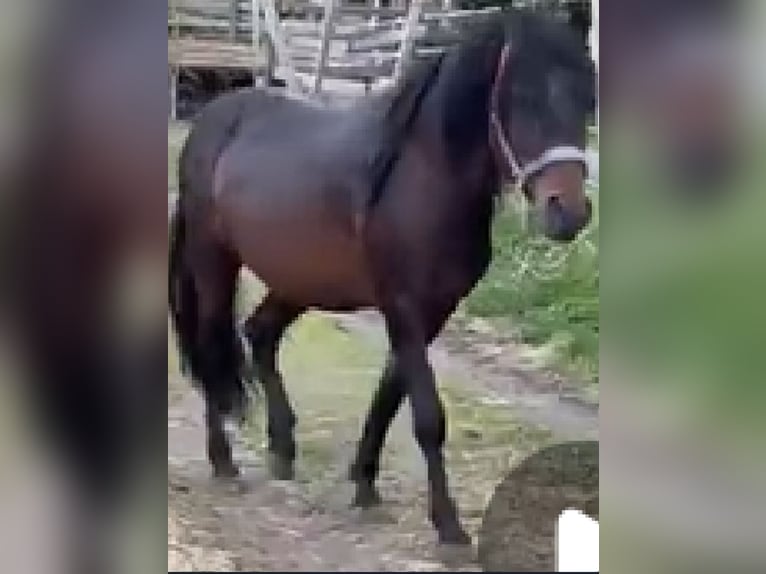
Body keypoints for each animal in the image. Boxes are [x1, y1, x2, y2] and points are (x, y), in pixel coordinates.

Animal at [169, 10, 595, 545]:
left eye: (585, 99)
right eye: (520, 97)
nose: (568, 212)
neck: (420, 179)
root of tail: (210, 121)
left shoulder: (431, 312)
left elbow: (390, 397)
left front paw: (364, 482)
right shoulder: (404, 306)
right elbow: (428, 416)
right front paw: (448, 524)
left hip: (300, 280)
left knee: (260, 333)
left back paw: (283, 450)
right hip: (213, 261)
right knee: (212, 349)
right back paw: (224, 463)